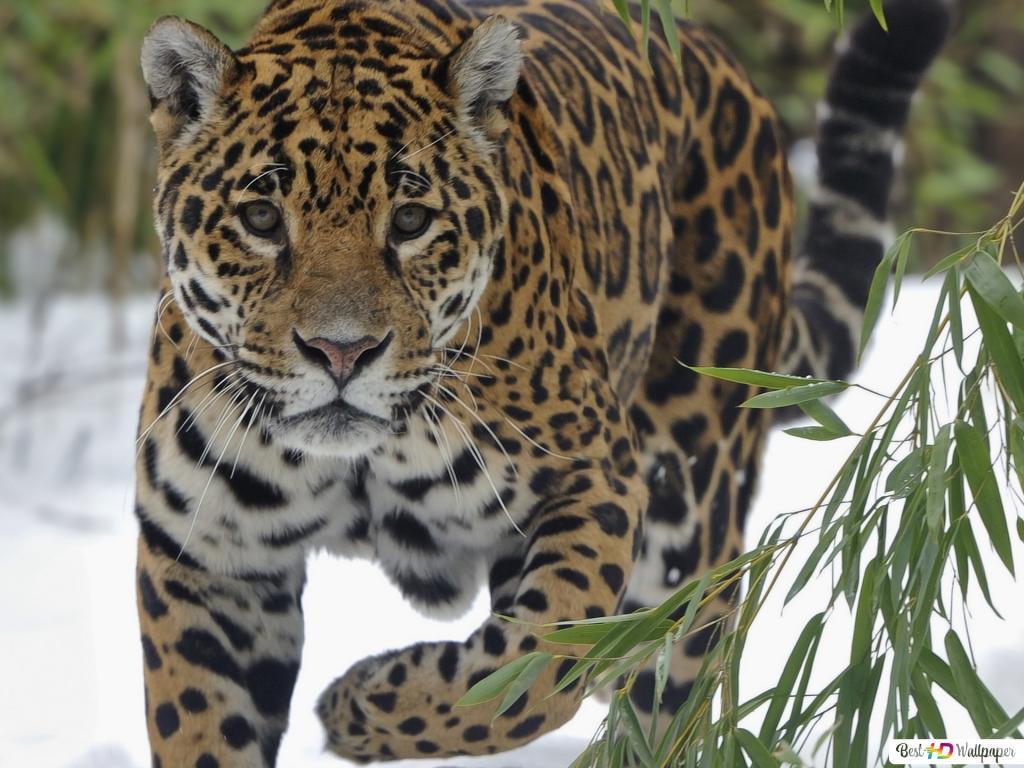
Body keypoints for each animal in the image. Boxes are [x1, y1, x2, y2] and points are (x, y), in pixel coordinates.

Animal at [134, 0, 951, 764]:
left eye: (410, 220)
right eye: (261, 217)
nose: (341, 351)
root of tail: (720, 60)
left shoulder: (594, 482)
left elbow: (532, 671)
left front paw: (360, 704)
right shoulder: (208, 557)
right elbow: (198, 726)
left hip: (685, 520)